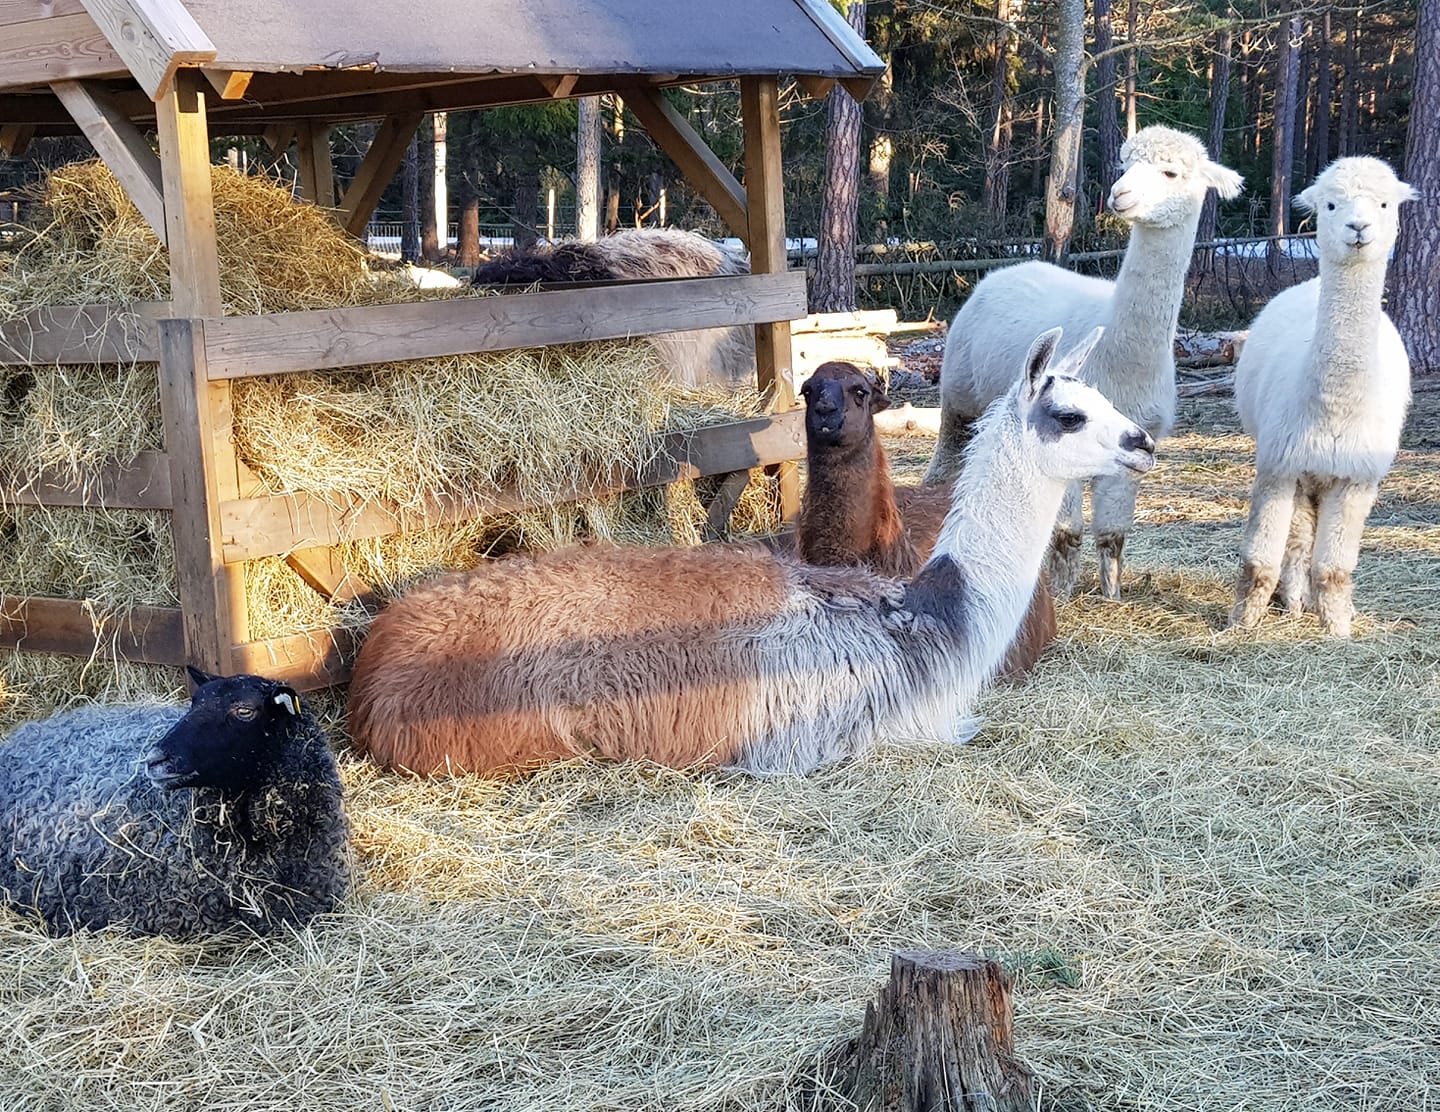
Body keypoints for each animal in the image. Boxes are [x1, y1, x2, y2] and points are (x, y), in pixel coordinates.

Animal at [925, 125, 1243, 600]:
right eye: (1125, 164)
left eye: (1170, 172)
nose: (1119, 194)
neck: (1124, 361)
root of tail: (1006, 270)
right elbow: (1067, 531)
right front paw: (1060, 594)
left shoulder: (1136, 445)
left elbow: (1113, 533)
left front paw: (1112, 593)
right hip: (959, 392)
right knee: (945, 461)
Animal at [1230, 157, 1416, 637]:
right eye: (1331, 204)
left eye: (1384, 203)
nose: (1358, 226)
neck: (1334, 410)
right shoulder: (1281, 465)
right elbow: (1261, 559)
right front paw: (1242, 622)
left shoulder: (1355, 478)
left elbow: (1333, 567)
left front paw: (1338, 628)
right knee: (1298, 539)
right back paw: (1295, 601)